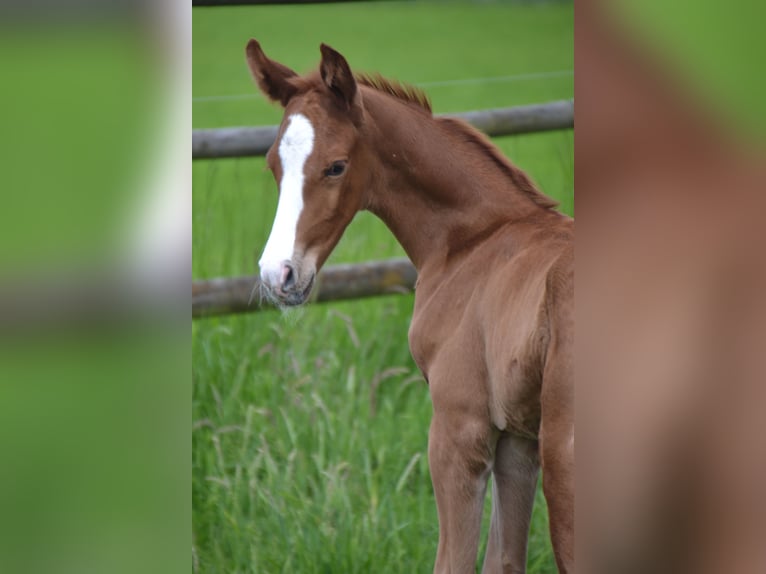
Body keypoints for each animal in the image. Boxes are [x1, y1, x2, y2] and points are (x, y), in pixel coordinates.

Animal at [248, 41, 576, 574]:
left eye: (336, 166)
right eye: (273, 165)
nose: (279, 276)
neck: (473, 240)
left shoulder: (459, 429)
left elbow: (455, 561)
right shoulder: (516, 440)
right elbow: (504, 558)